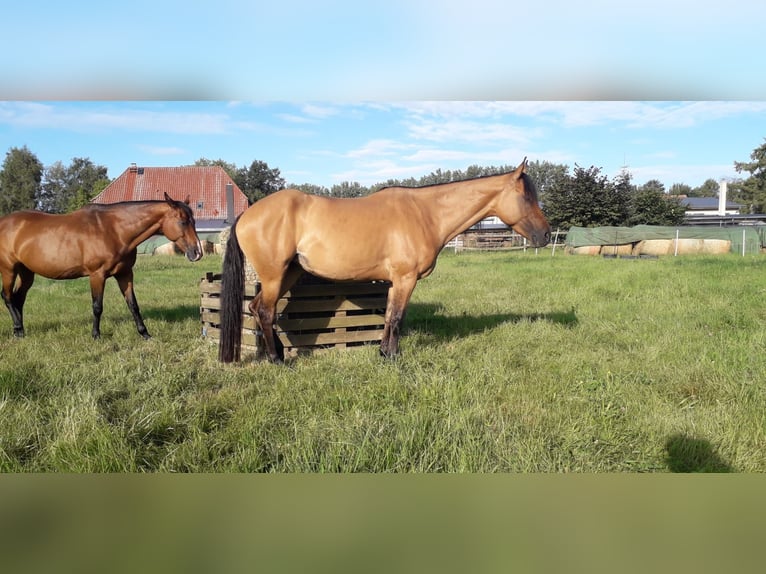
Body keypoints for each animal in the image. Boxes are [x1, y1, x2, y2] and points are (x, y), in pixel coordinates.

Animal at [0, 192, 203, 339]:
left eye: (193, 221)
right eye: (183, 221)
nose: (197, 253)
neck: (114, 230)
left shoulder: (125, 274)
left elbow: (133, 305)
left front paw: (145, 333)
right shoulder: (97, 275)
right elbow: (97, 306)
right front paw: (96, 335)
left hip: (26, 272)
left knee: (18, 298)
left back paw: (19, 330)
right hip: (9, 269)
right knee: (8, 296)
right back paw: (18, 329)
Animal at [218, 158, 550, 364]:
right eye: (526, 197)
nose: (546, 234)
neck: (425, 214)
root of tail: (246, 215)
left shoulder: (395, 281)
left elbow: (390, 315)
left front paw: (383, 353)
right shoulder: (406, 278)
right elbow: (397, 317)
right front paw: (393, 357)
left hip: (289, 273)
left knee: (256, 307)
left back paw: (272, 353)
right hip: (274, 275)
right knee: (265, 311)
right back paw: (277, 359)